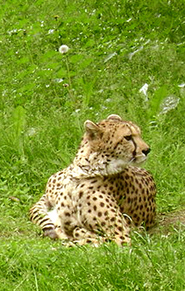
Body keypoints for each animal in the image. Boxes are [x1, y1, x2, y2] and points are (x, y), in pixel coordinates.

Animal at [30, 114, 156, 246]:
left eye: (139, 134)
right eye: (128, 137)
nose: (147, 150)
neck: (86, 171)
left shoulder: (122, 237)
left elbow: (81, 241)